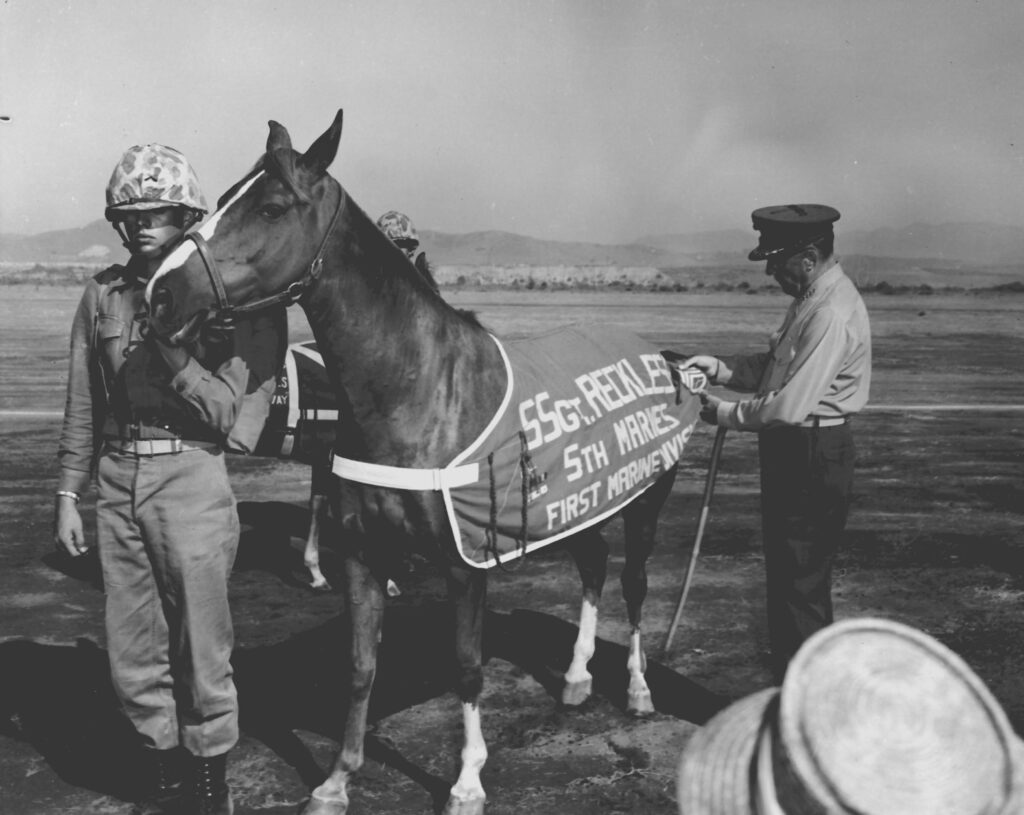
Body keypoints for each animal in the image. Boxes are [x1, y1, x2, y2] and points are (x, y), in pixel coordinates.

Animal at [146, 110, 704, 815]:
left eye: (271, 207)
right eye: (220, 200)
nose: (160, 294)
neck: (420, 395)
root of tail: (665, 357)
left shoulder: (466, 562)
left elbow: (467, 666)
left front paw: (467, 780)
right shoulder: (363, 551)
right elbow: (360, 667)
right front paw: (338, 779)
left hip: (646, 500)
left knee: (633, 584)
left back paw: (635, 690)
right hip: (587, 500)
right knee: (593, 566)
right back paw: (576, 678)